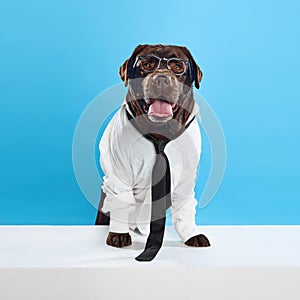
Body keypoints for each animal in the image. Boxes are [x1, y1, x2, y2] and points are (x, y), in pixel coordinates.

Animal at [95, 44, 210, 251]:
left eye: (177, 66)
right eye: (147, 64)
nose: (162, 79)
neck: (160, 133)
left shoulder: (186, 179)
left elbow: (184, 206)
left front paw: (191, 233)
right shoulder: (118, 175)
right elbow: (120, 201)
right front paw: (118, 234)